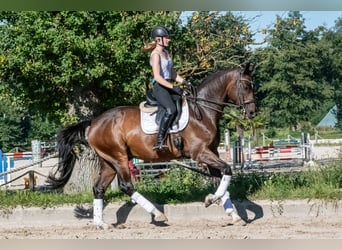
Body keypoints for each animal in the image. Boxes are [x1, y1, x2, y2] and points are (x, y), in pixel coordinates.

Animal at [48, 62, 256, 227]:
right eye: (246, 86)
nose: (253, 112)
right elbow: (227, 170)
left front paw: (233, 214)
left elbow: (221, 178)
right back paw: (158, 213)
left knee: (98, 188)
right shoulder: (201, 153)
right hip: (119, 157)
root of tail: (94, 122)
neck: (203, 111)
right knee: (126, 186)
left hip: (109, 162)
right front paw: (212, 199)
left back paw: (101, 224)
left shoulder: (212, 152)